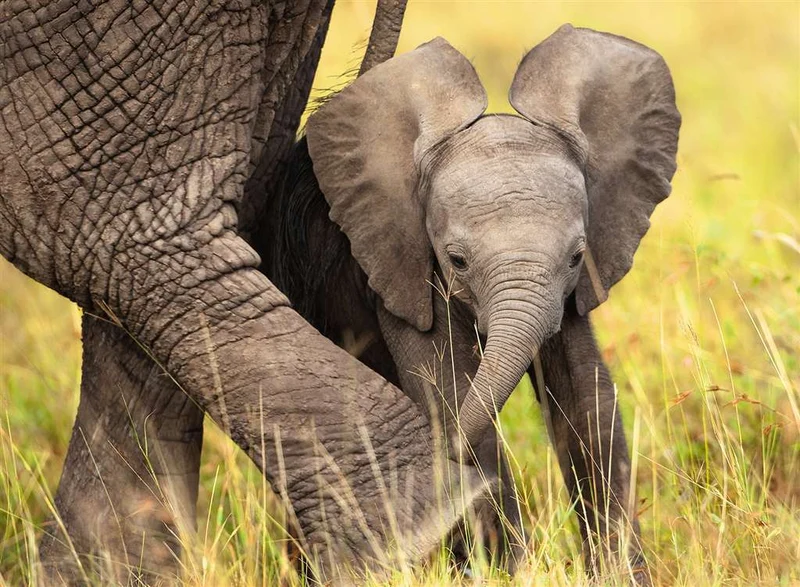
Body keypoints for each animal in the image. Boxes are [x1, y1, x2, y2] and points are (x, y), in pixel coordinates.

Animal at [259, 26, 680, 583]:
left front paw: (620, 575)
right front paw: (507, 573)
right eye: (457, 260)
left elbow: (587, 398)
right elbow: (449, 392)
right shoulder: (396, 263)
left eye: (576, 257)